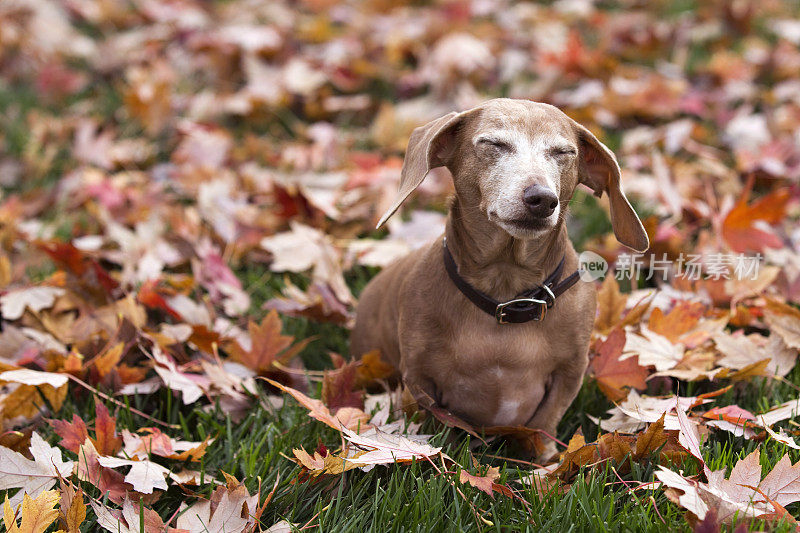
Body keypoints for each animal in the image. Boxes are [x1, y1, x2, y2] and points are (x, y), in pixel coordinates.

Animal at [352, 97, 648, 456]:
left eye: (563, 152)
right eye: (494, 144)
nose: (542, 199)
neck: (507, 292)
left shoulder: (569, 374)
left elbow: (544, 423)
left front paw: (545, 462)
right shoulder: (419, 379)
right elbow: (437, 421)